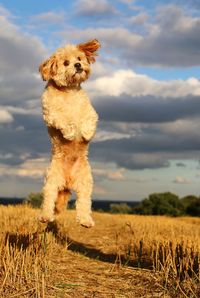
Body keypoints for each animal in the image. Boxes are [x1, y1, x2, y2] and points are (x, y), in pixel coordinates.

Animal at [38, 38, 101, 227]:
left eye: (79, 58)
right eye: (66, 62)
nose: (78, 65)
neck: (69, 91)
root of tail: (68, 181)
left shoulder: (90, 111)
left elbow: (89, 119)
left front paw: (86, 133)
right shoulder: (50, 113)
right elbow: (63, 119)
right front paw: (71, 132)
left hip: (85, 183)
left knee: (84, 203)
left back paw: (86, 220)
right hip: (52, 181)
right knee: (48, 200)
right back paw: (45, 216)